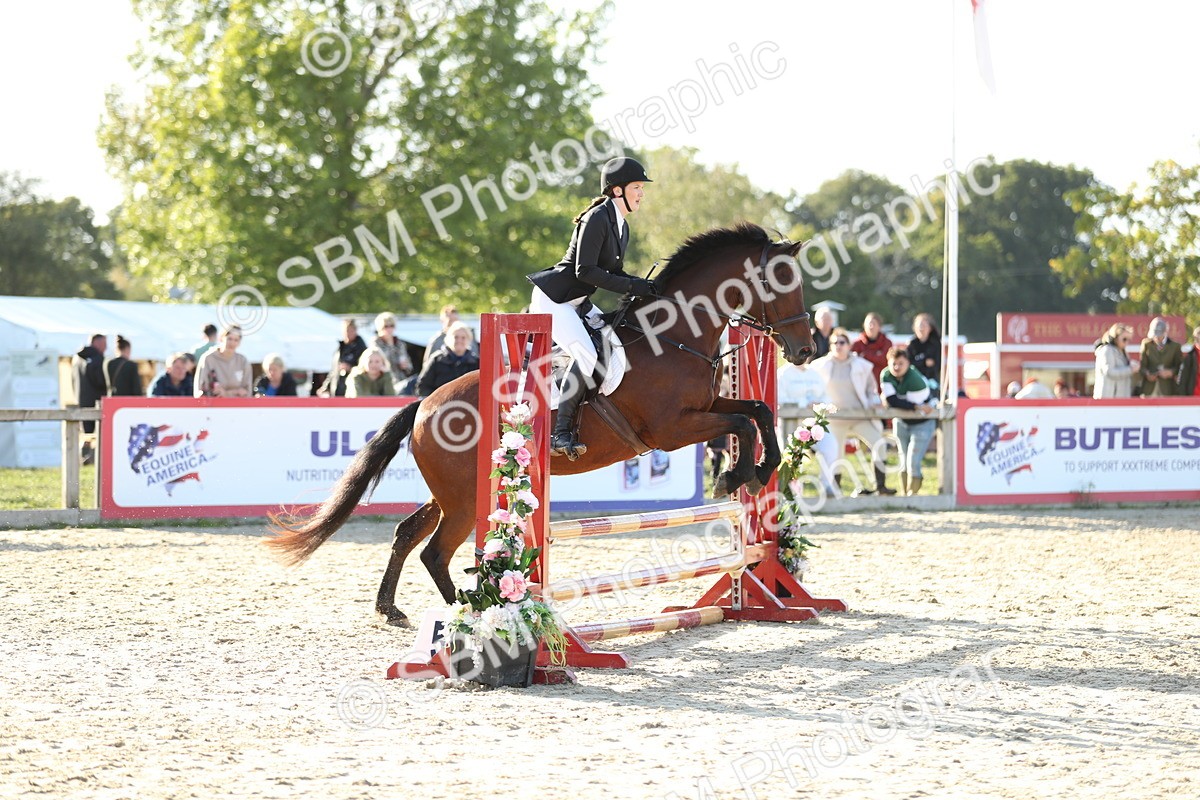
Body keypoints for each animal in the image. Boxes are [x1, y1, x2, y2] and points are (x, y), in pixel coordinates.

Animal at [266, 222, 814, 626]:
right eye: (779, 283)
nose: (807, 351)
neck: (674, 336)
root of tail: (423, 404)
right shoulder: (671, 429)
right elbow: (743, 425)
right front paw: (736, 476)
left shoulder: (707, 407)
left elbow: (758, 412)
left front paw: (758, 472)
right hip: (464, 497)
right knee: (436, 551)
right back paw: (470, 610)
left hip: (454, 490)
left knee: (408, 535)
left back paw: (394, 609)